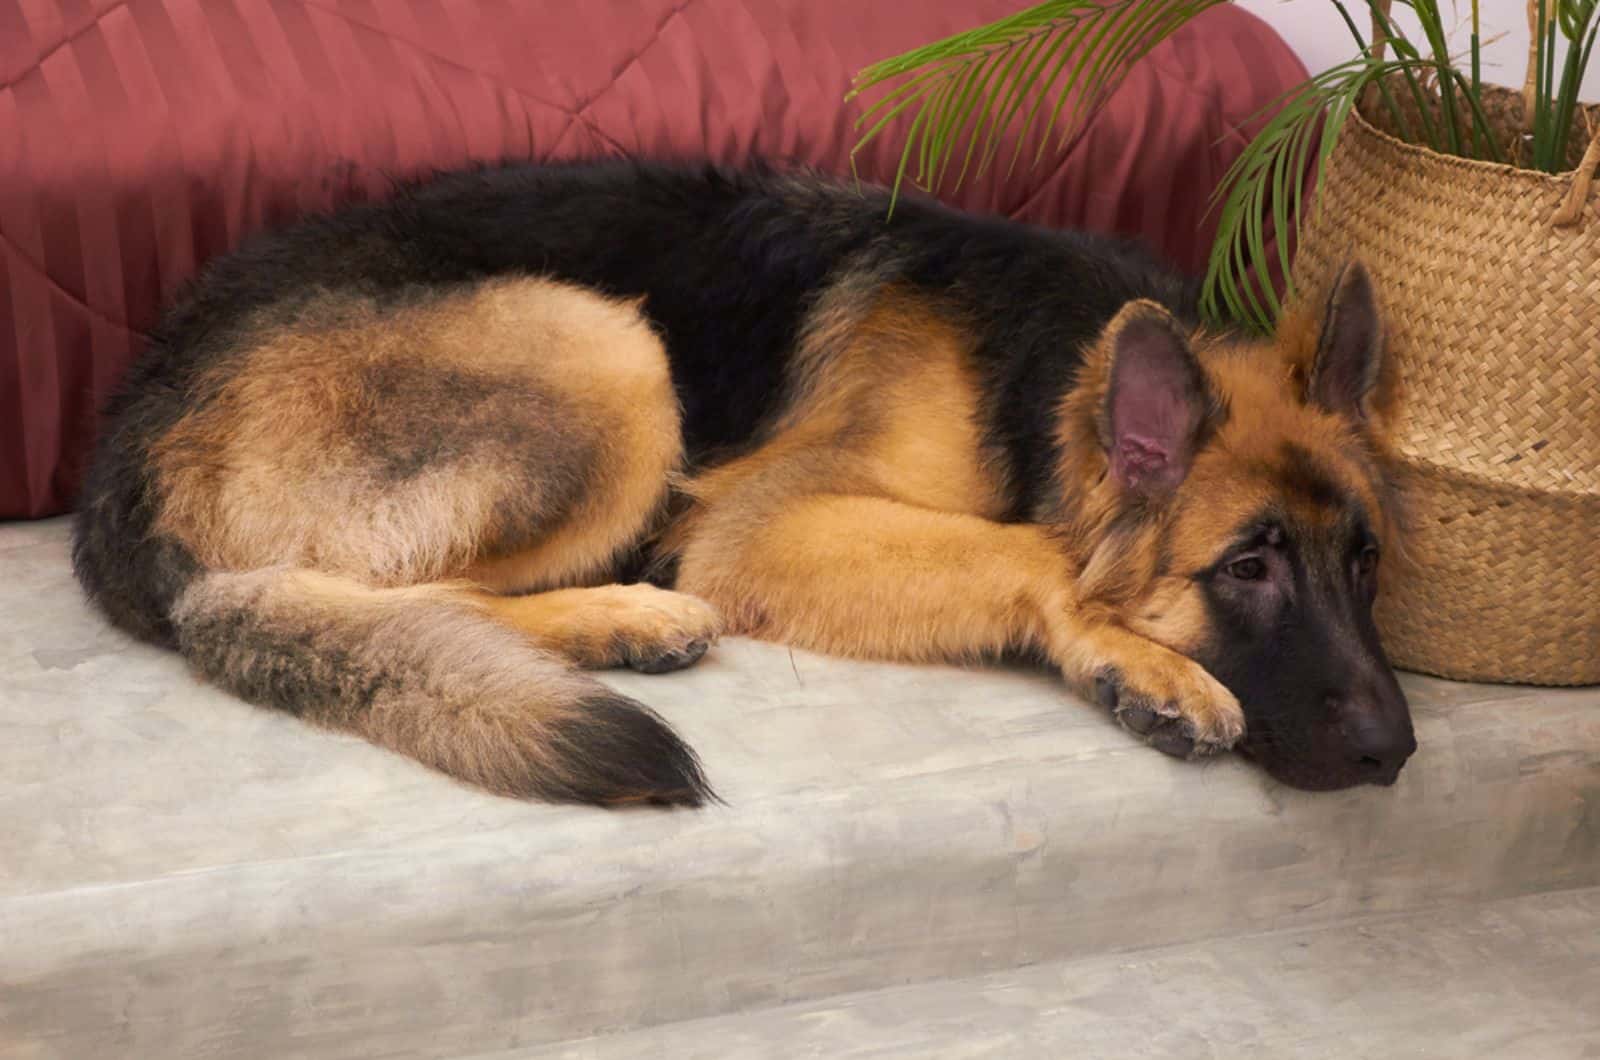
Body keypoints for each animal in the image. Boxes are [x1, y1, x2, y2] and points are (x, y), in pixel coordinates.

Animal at [75, 161, 1420, 807]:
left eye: (1365, 561)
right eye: (1246, 566)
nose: (1395, 750)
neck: (1041, 377)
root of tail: (131, 428)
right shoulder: (759, 528)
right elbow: (1027, 551)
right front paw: (1138, 658)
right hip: (609, 351)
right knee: (381, 595)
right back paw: (623, 615)